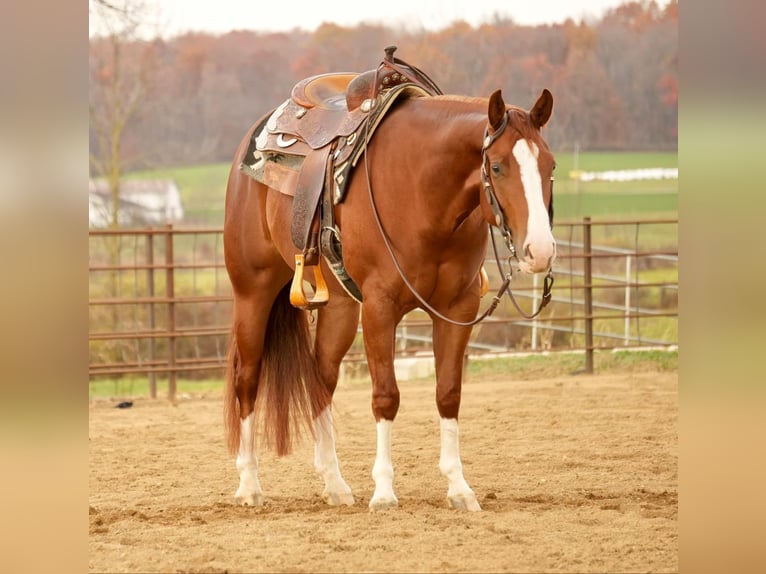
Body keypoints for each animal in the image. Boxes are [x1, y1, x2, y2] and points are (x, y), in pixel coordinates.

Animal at [225, 63, 556, 512]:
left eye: (550, 166)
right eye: (499, 166)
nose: (541, 250)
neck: (425, 193)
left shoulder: (458, 308)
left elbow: (448, 393)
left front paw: (459, 487)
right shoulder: (379, 308)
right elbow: (386, 395)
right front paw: (383, 491)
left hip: (340, 309)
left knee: (320, 379)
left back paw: (335, 483)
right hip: (252, 292)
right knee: (248, 378)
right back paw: (249, 485)